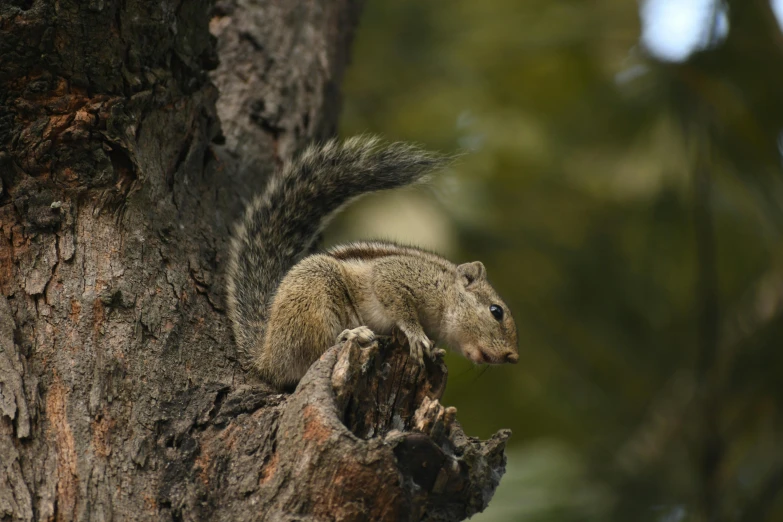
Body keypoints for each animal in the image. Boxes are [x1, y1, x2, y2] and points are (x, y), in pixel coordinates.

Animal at [227, 136, 520, 388]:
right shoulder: (398, 275)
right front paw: (416, 335)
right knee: (312, 351)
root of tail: (265, 356)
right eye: (496, 311)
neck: (446, 290)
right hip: (313, 295)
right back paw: (351, 335)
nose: (513, 357)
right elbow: (398, 304)